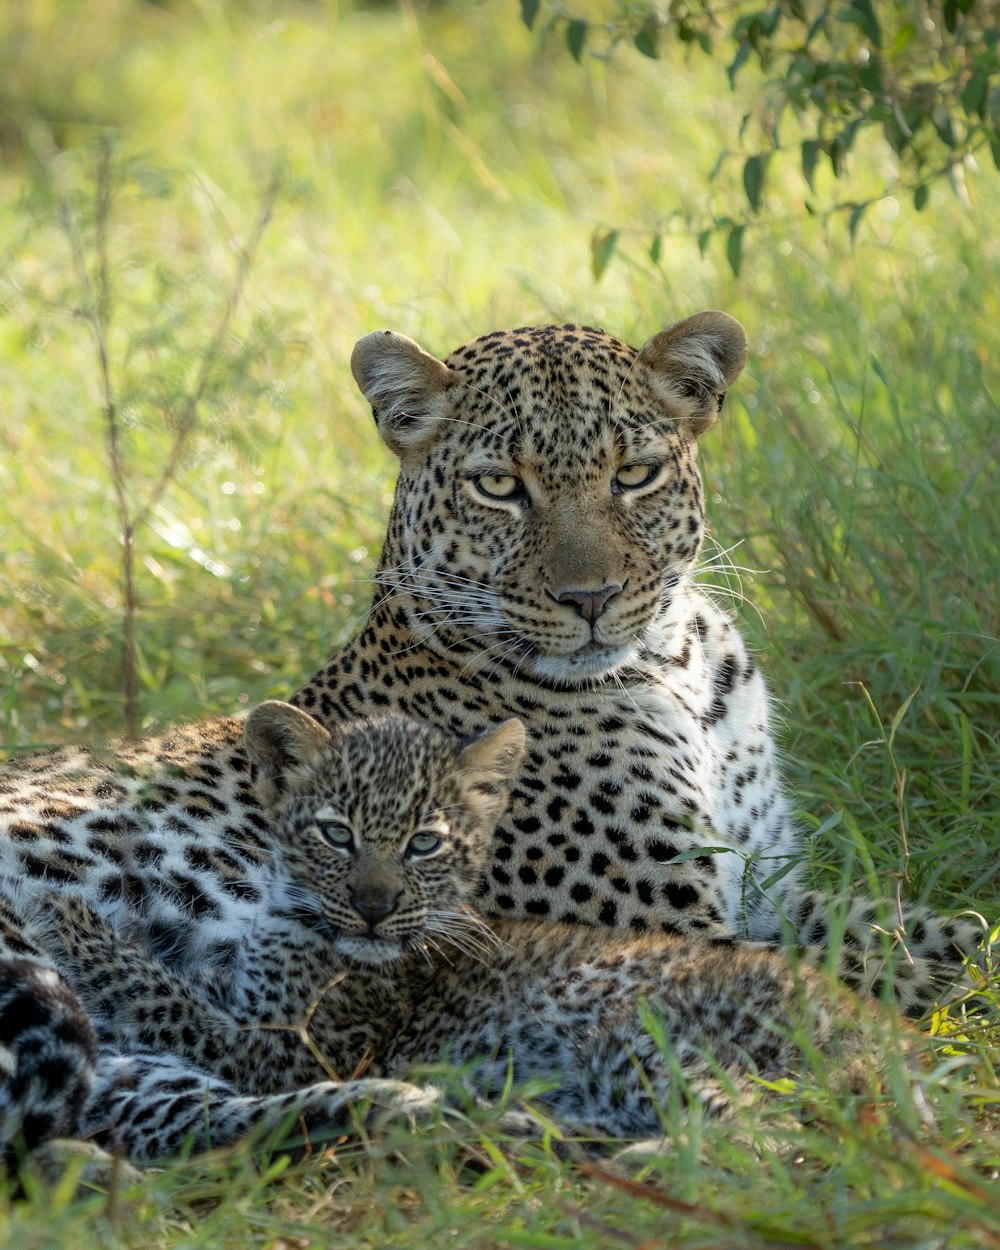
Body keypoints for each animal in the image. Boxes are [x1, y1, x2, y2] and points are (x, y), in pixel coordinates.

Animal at [0, 310, 975, 1160]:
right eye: (500, 486)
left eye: (634, 475)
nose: (590, 598)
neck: (683, 666)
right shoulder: (676, 926)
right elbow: (891, 978)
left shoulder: (768, 888)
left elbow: (950, 933)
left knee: (168, 1107)